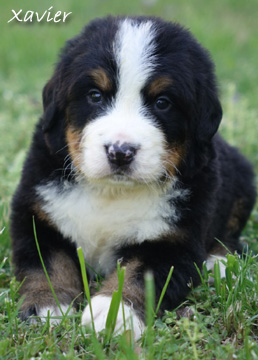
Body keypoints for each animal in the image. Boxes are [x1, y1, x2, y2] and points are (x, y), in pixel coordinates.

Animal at [10, 15, 256, 338]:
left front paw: (114, 313)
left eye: (162, 102)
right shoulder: (37, 212)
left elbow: (139, 274)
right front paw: (47, 304)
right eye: (95, 95)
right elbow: (49, 261)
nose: (120, 151)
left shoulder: (173, 240)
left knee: (230, 235)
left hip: (242, 181)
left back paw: (219, 262)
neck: (110, 193)